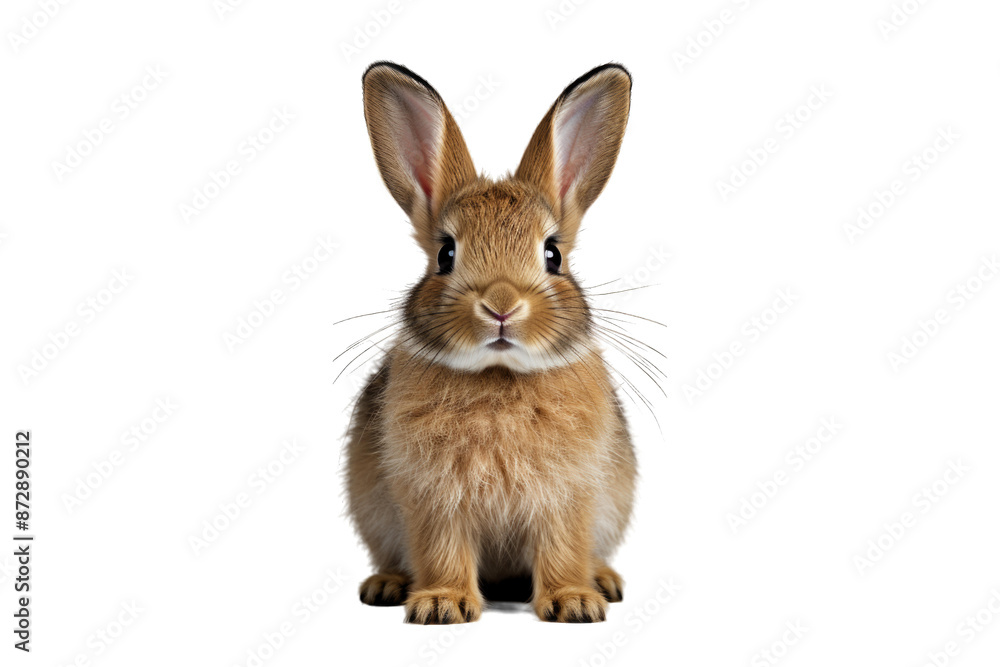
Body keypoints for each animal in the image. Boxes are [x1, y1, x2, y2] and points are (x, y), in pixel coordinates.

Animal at [345, 61, 636, 624]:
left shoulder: (569, 495)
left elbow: (563, 547)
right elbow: (442, 549)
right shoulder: (434, 498)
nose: (501, 305)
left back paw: (605, 580)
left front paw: (574, 602)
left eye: (552, 254)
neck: (498, 376)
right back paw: (387, 585)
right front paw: (441, 604)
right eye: (445, 254)